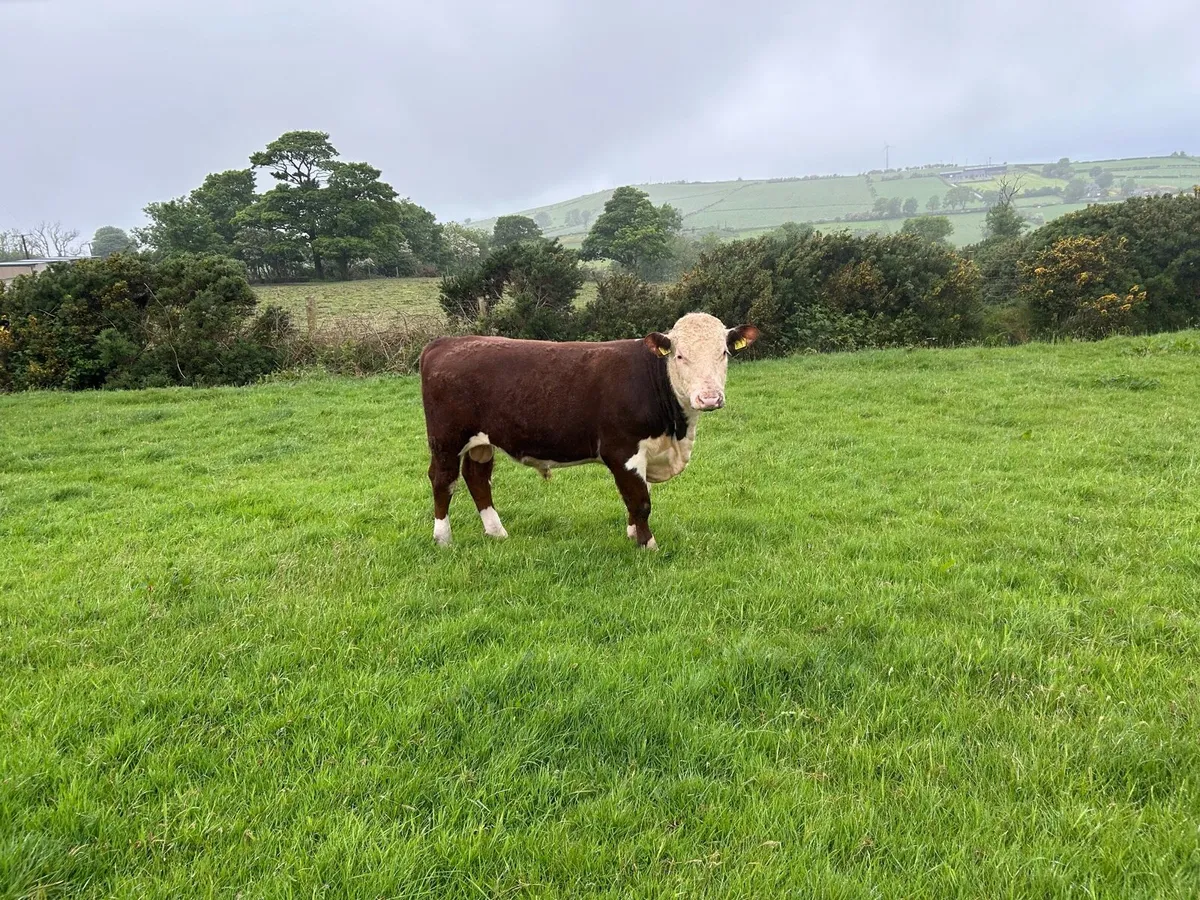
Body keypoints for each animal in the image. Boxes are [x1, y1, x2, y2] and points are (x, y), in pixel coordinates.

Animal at [418, 312, 759, 549]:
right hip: (446, 439)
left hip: (481, 442)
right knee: (443, 480)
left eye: (723, 353)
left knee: (477, 478)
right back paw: (443, 539)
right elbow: (640, 501)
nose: (710, 398)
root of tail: (448, 342)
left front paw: (633, 534)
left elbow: (635, 499)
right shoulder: (623, 451)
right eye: (679, 355)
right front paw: (647, 545)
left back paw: (497, 532)